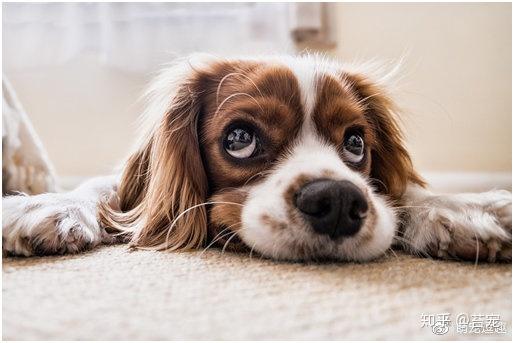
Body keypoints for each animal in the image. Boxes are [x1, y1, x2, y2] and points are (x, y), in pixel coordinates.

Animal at [2, 55, 510, 262]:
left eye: (355, 143)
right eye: (240, 138)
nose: (338, 201)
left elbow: (406, 194)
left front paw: (462, 208)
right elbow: (104, 189)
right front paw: (45, 205)